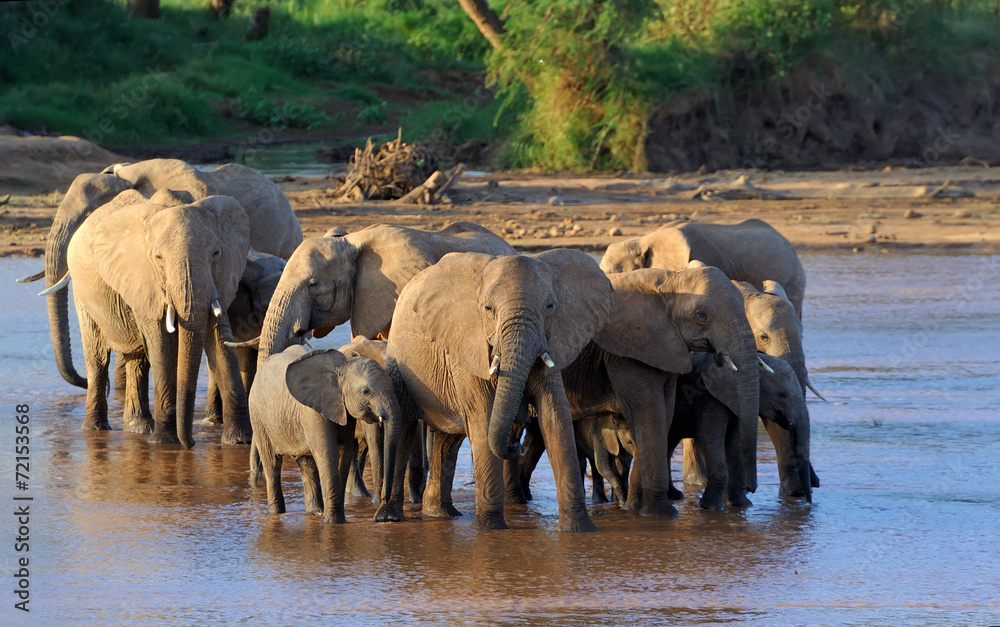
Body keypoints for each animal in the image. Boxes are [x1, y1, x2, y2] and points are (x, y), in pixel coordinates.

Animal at [66, 190, 251, 447]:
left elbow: (220, 339)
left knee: (137, 359)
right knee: (97, 356)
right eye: (159, 257)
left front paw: (240, 441)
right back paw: (97, 428)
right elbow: (161, 344)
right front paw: (165, 443)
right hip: (81, 292)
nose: (192, 443)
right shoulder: (145, 280)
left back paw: (139, 429)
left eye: (216, 253)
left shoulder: (221, 278)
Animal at [249, 344, 401, 523]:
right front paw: (333, 522)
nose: (383, 499)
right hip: (258, 418)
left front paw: (336, 520)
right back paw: (277, 512)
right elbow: (327, 453)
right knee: (272, 464)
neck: (342, 367)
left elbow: (345, 452)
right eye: (366, 391)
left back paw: (316, 512)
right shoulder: (313, 413)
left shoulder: (344, 411)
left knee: (307, 466)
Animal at [375, 250, 613, 531]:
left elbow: (555, 418)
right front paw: (491, 530)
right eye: (488, 309)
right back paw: (389, 517)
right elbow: (483, 419)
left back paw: (441, 514)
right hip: (399, 362)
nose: (517, 447)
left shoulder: (554, 342)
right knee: (404, 424)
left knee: (448, 440)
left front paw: (579, 530)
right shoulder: (467, 344)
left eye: (550, 306)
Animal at [510, 266, 762, 515]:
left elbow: (662, 415)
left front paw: (634, 507)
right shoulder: (625, 351)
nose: (751, 489)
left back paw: (522, 500)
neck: (669, 280)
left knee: (533, 438)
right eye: (701, 315)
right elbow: (651, 415)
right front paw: (660, 514)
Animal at [670, 352, 813, 507]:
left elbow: (735, 442)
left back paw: (674, 495)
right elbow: (708, 439)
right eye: (782, 394)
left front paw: (741, 504)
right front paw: (711, 506)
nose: (805, 500)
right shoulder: (709, 398)